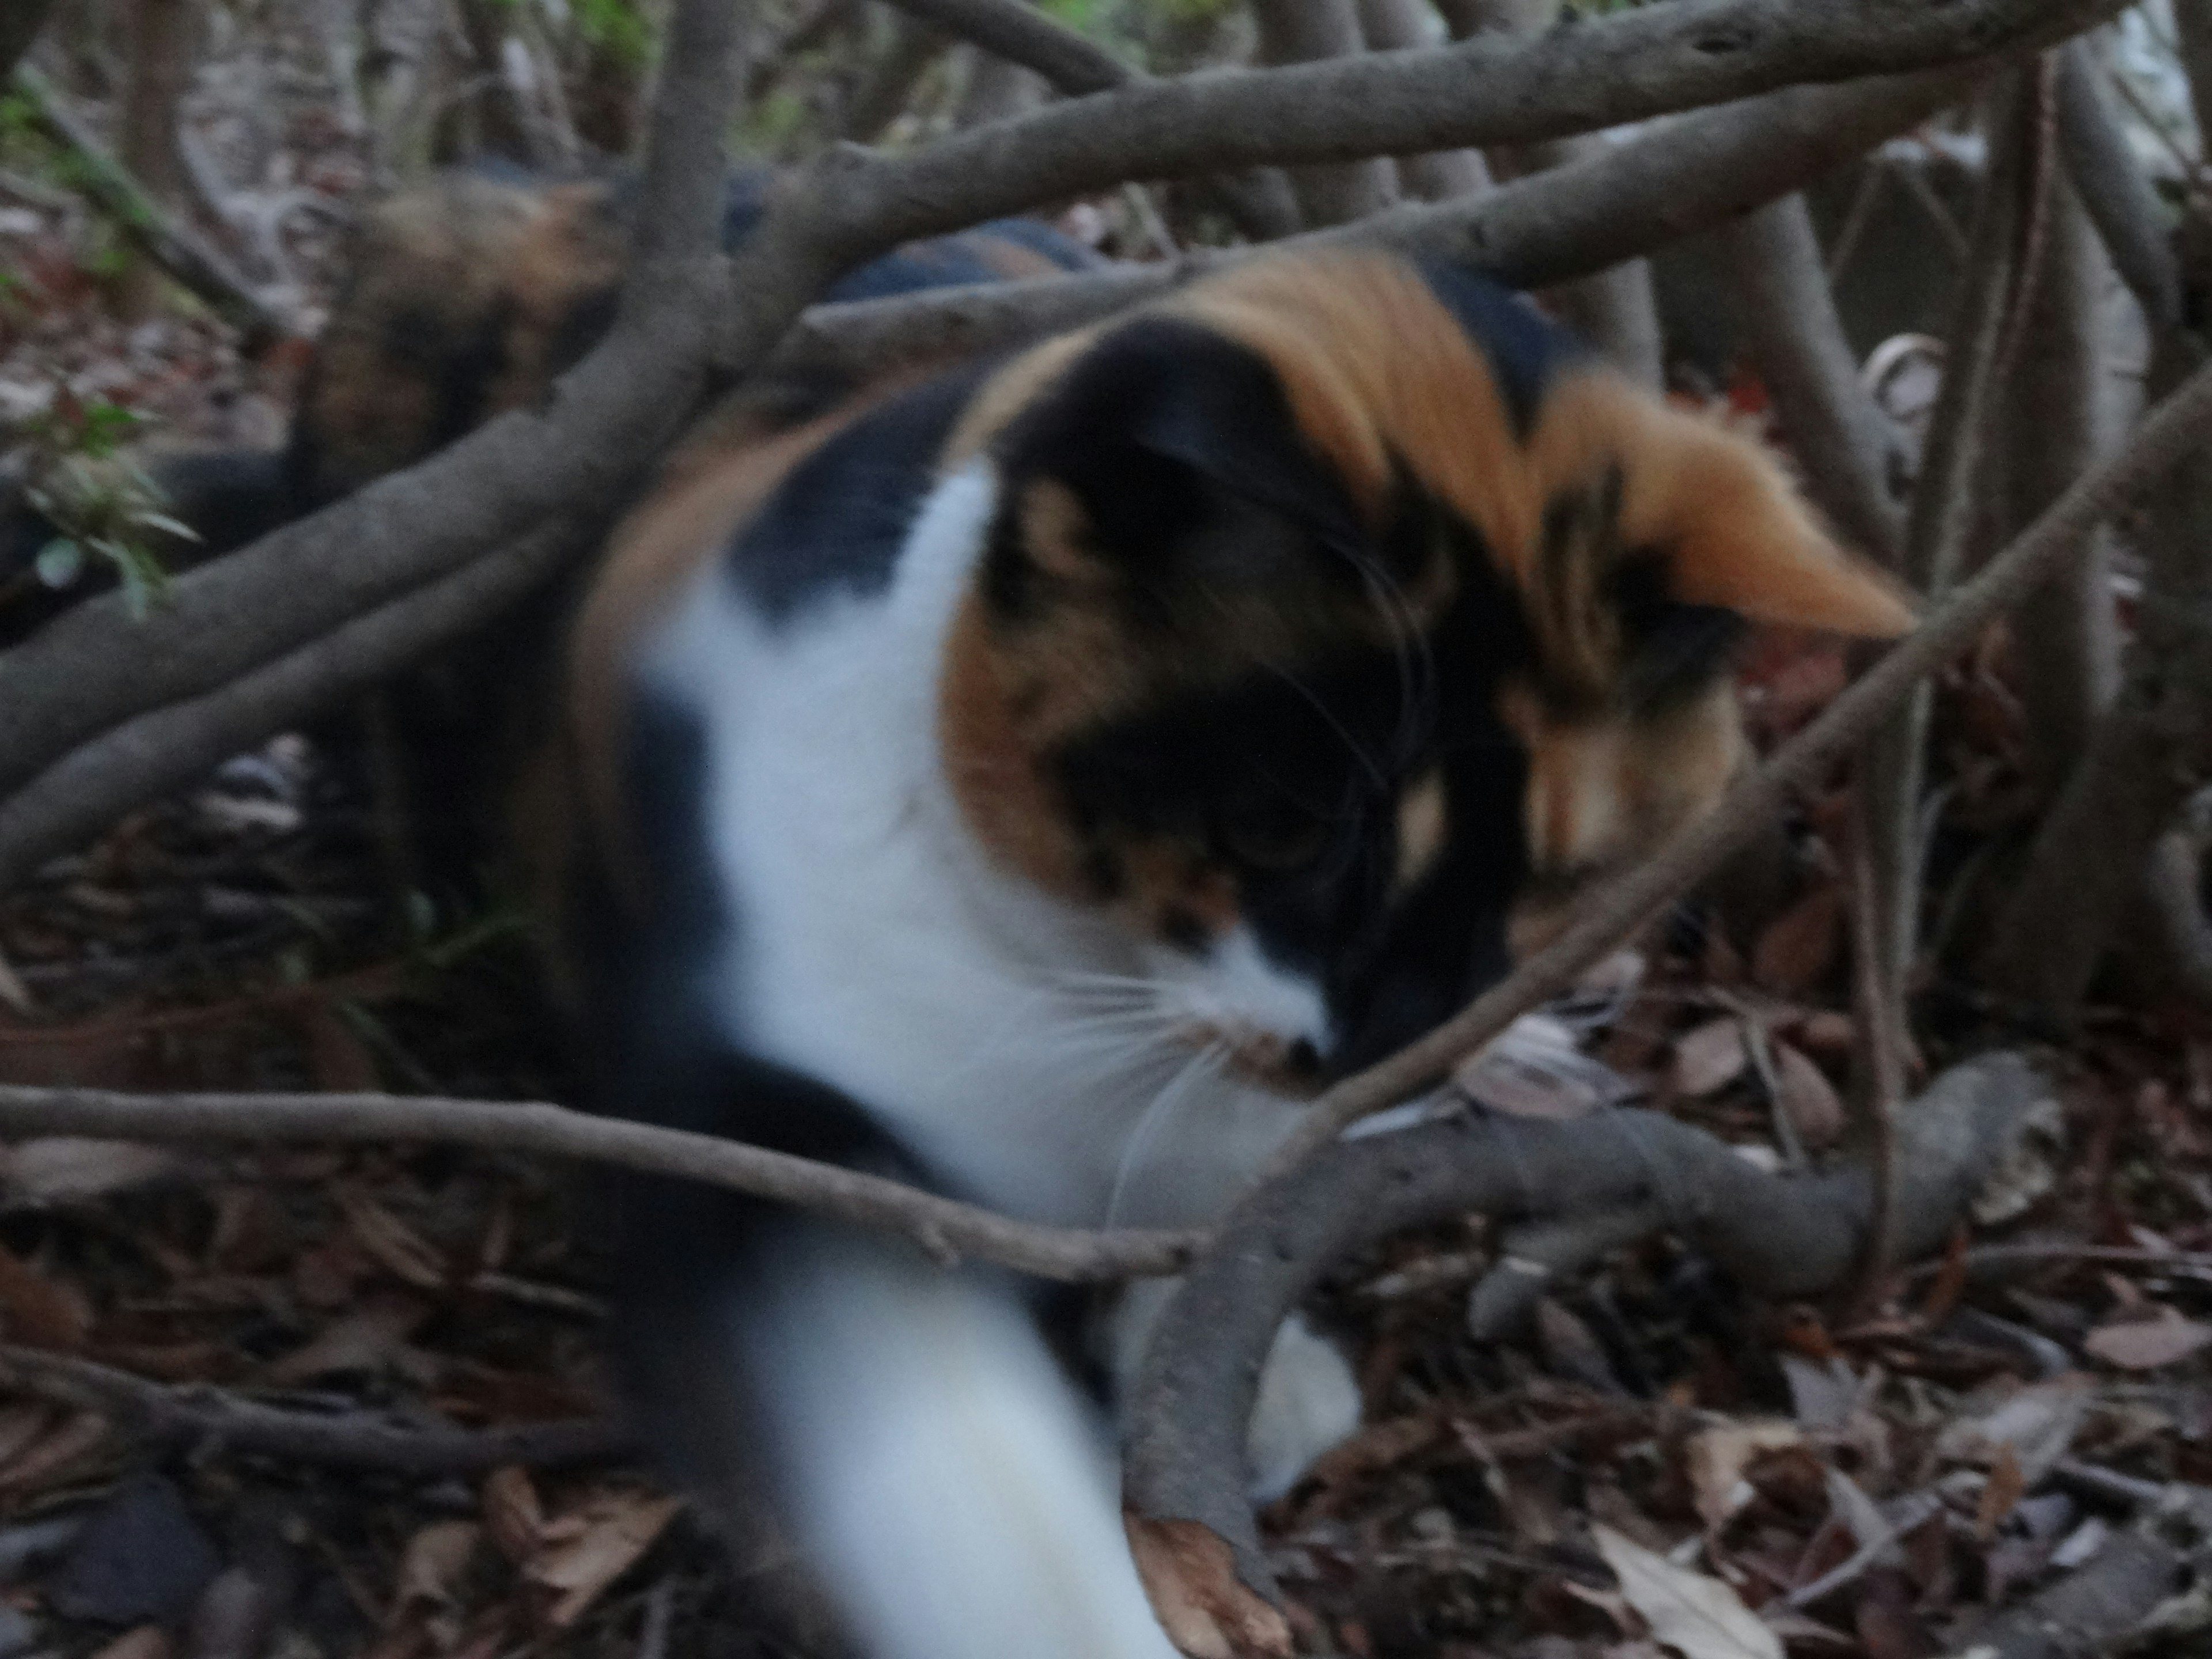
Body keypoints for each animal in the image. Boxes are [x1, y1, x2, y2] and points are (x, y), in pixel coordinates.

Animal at [557, 247, 1920, 1659]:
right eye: (1279, 827)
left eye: (1558, 880)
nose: (1393, 1030)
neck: (1075, 990)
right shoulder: (739, 1108)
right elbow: (934, 1427)